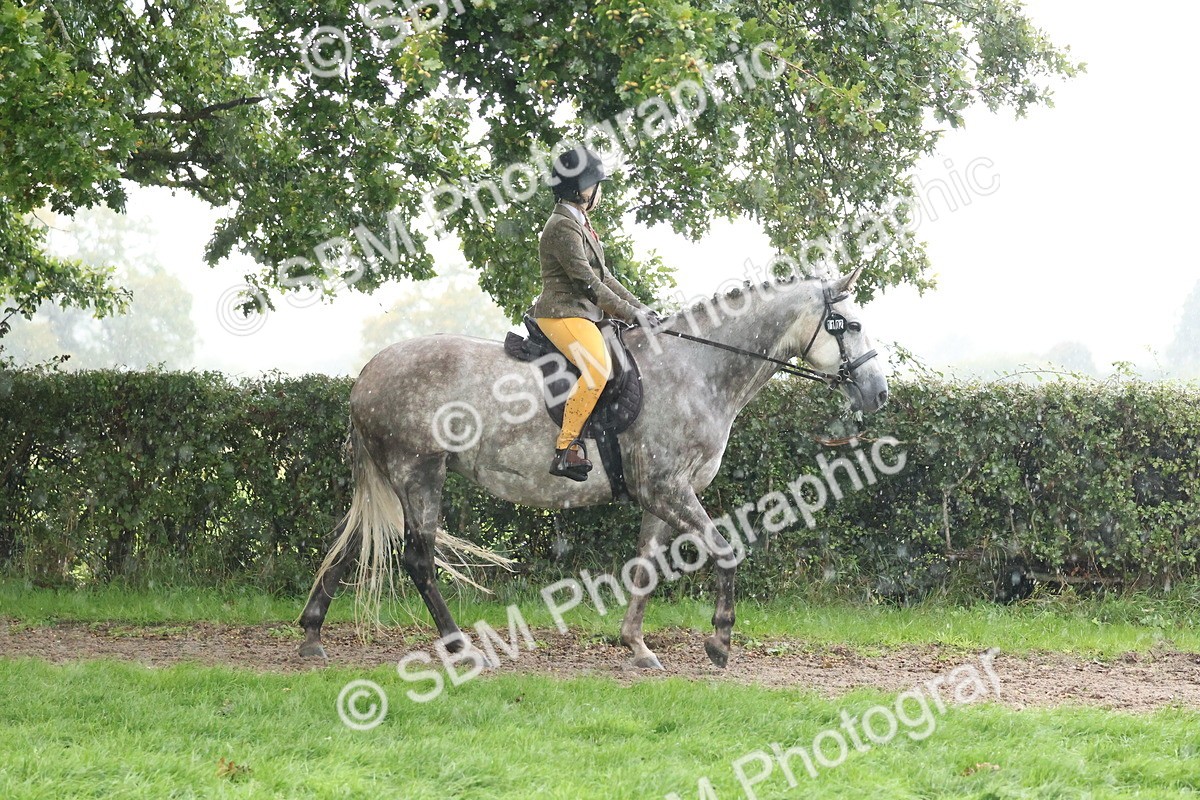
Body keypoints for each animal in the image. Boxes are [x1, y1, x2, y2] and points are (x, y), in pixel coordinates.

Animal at [298, 266, 888, 669]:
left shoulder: (664, 496)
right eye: (852, 324)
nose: (878, 393)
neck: (695, 369)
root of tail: (368, 373)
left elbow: (647, 567)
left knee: (350, 545)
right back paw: (461, 647)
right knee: (418, 561)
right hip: (419, 472)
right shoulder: (666, 488)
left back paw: (311, 635)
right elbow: (725, 549)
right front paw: (719, 641)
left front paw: (637, 647)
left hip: (393, 479)